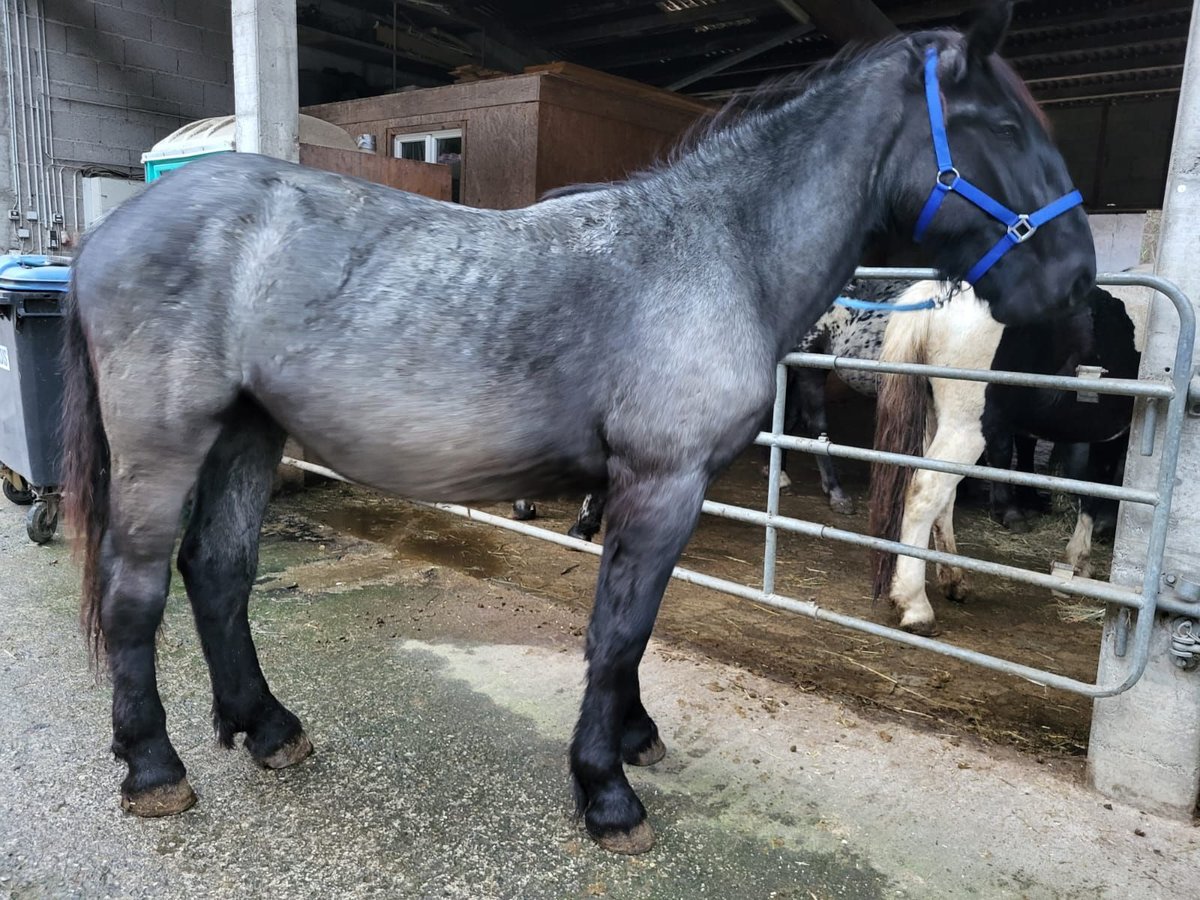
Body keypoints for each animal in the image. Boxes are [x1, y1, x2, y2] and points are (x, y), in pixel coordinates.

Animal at [56, 3, 1094, 854]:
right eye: (1003, 127)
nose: (1077, 282)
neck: (716, 253)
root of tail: (110, 235)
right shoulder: (661, 483)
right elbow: (619, 631)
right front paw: (607, 792)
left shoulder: (651, 491)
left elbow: (633, 625)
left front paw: (632, 739)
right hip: (164, 449)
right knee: (138, 591)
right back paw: (154, 769)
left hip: (246, 434)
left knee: (218, 572)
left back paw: (268, 728)